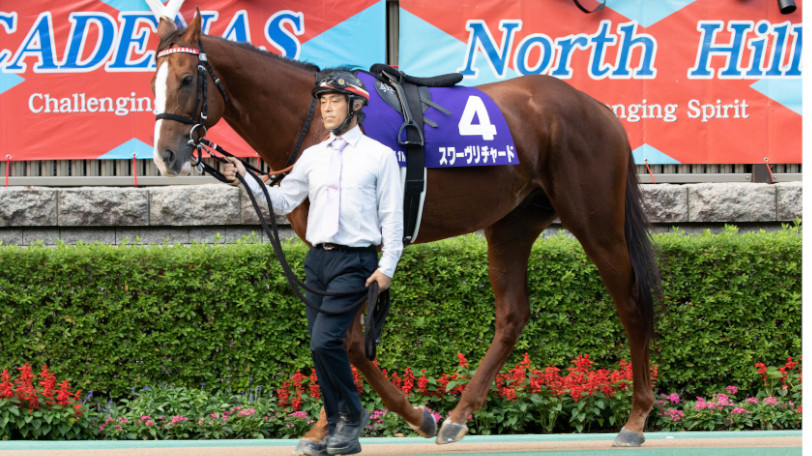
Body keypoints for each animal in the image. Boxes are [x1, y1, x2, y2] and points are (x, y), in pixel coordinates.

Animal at [151, 11, 662, 450]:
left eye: (187, 78)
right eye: (153, 79)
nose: (167, 155)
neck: (317, 124)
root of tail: (600, 108)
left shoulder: (366, 243)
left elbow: (350, 343)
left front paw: (411, 416)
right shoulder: (327, 248)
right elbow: (332, 336)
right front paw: (326, 427)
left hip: (595, 222)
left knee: (632, 304)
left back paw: (635, 419)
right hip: (511, 226)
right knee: (512, 316)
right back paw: (459, 415)